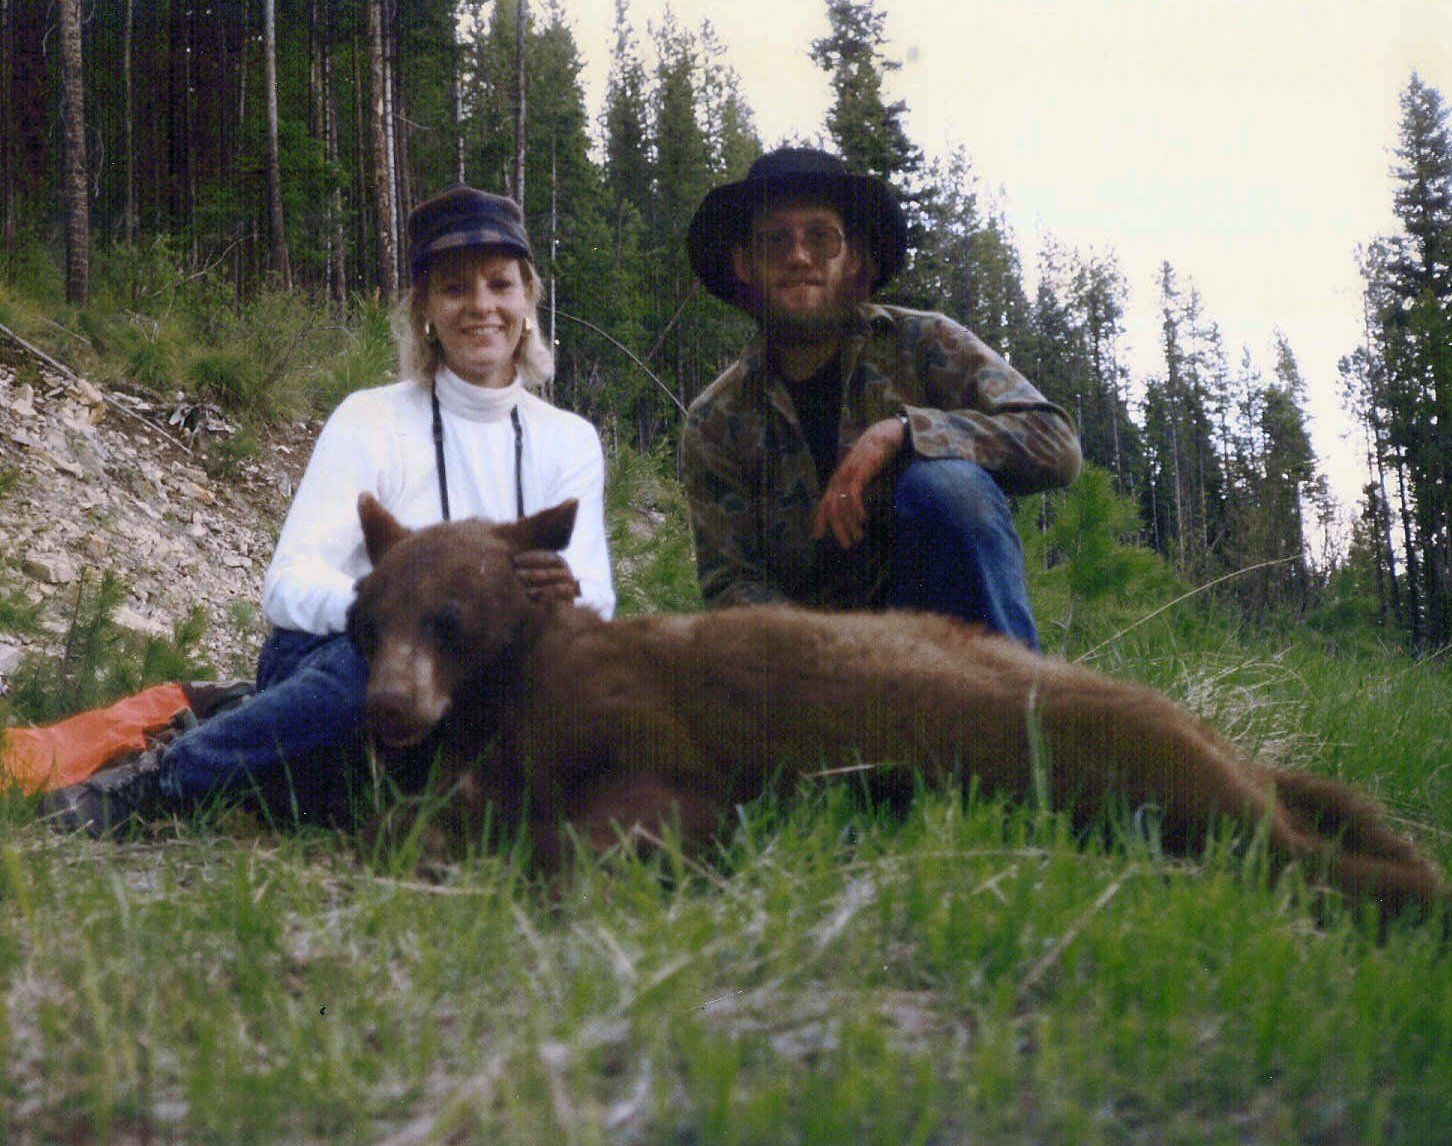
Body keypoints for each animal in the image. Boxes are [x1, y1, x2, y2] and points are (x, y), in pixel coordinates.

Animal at [346, 493, 1447, 923]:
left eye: (448, 617)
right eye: (366, 616)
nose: (387, 705)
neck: (512, 691)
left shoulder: (651, 739)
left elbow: (613, 829)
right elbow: (438, 813)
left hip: (1155, 764)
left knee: (1300, 850)